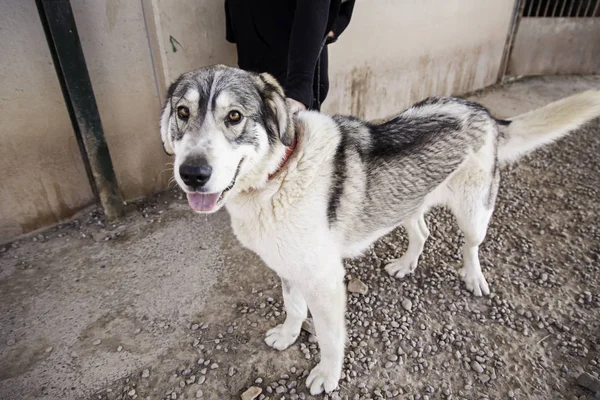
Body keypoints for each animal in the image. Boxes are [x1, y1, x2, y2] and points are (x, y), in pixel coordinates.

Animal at [158, 65, 600, 394]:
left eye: (234, 116)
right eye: (183, 113)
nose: (192, 174)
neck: (277, 175)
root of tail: (483, 111)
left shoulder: (325, 280)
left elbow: (330, 338)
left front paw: (327, 376)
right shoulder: (289, 266)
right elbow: (293, 307)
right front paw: (287, 335)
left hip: (475, 212)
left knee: (471, 246)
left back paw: (473, 277)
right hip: (406, 204)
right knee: (422, 233)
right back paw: (406, 265)